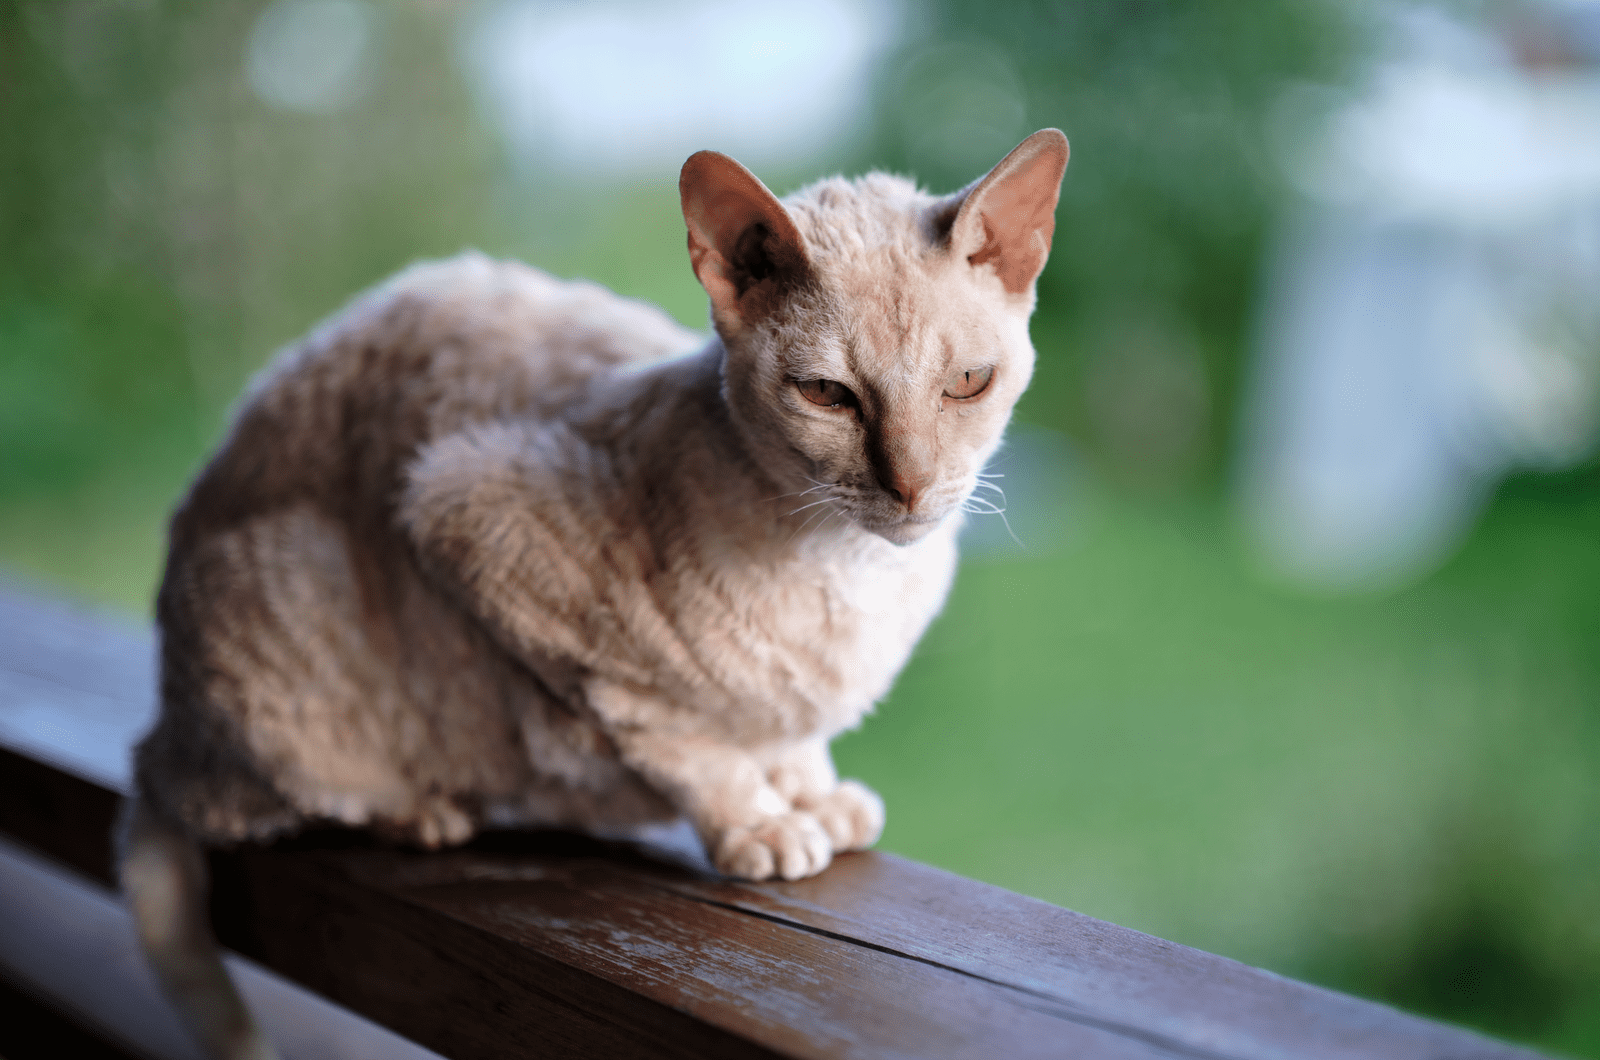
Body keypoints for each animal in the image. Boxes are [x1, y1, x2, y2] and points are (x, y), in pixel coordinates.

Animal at [121, 128, 1062, 1056]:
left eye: (968, 384)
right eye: (828, 394)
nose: (911, 488)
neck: (855, 571)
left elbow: (793, 730)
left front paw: (812, 794)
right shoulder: (466, 518)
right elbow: (681, 740)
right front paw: (762, 823)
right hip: (288, 620)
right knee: (241, 798)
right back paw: (423, 812)